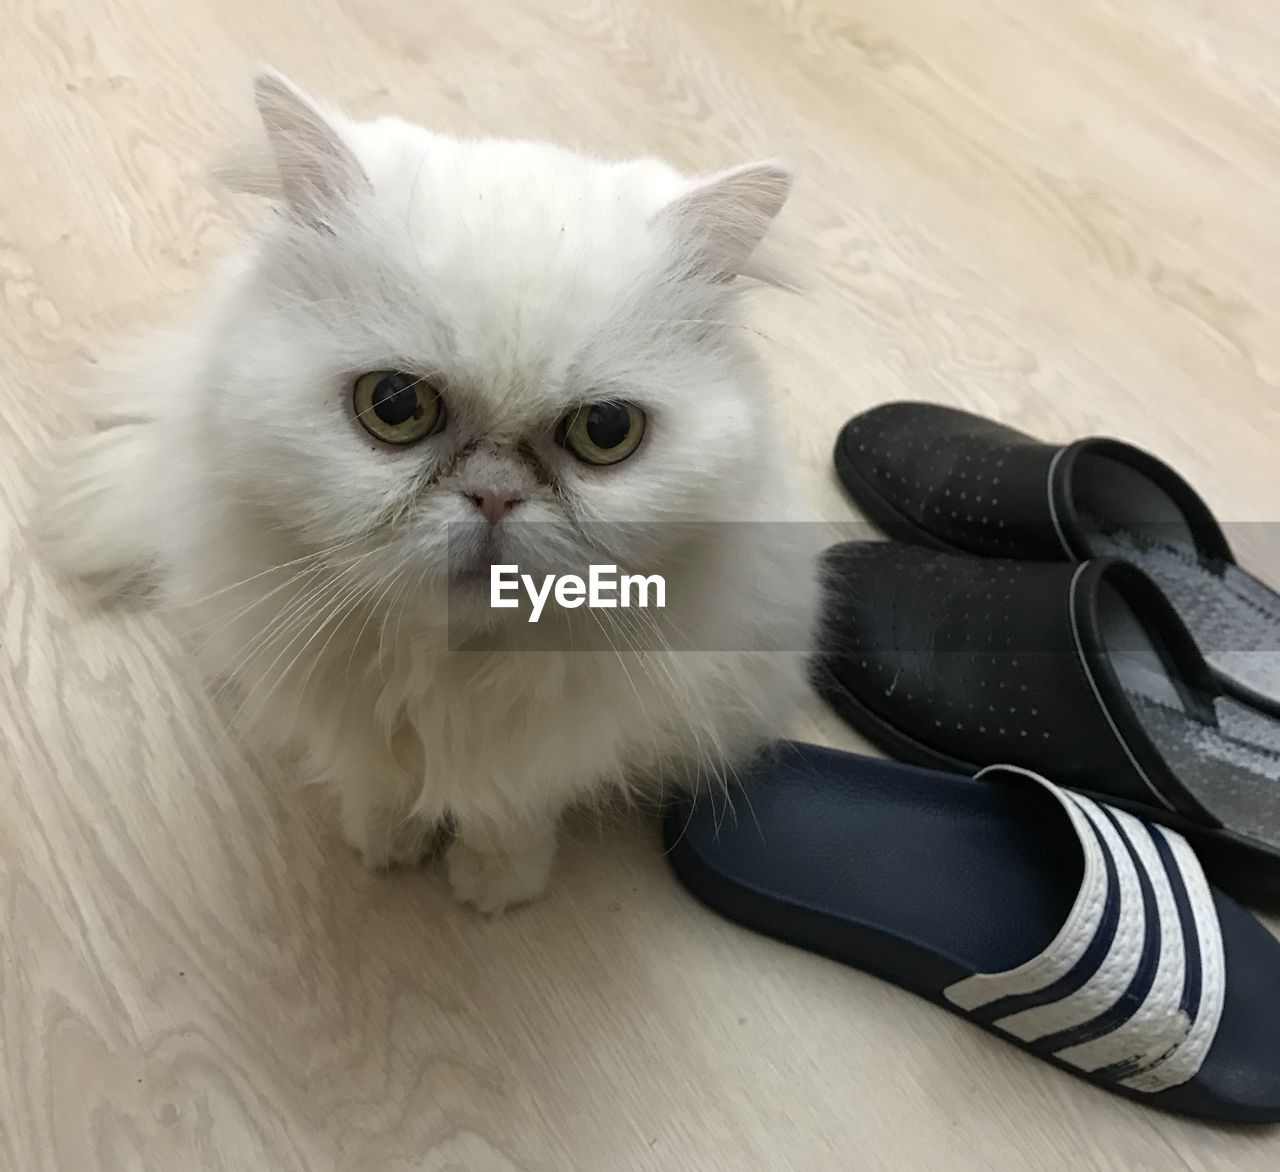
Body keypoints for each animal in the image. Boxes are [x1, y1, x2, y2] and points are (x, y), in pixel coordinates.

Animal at [45, 73, 819, 910]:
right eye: (393, 405)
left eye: (606, 431)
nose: (495, 497)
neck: (453, 663)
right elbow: (378, 784)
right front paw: (385, 845)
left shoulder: (557, 743)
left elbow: (510, 814)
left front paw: (495, 886)